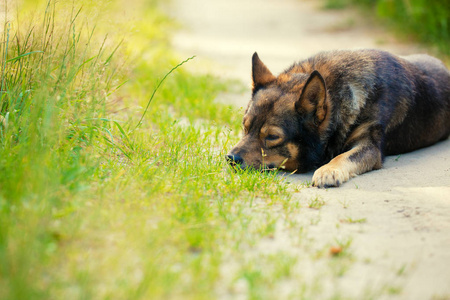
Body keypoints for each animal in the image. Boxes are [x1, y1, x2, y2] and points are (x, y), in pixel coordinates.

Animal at [229, 50, 450, 189]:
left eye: (272, 137)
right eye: (244, 127)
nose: (230, 158)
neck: (336, 95)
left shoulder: (370, 147)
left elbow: (344, 156)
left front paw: (329, 170)